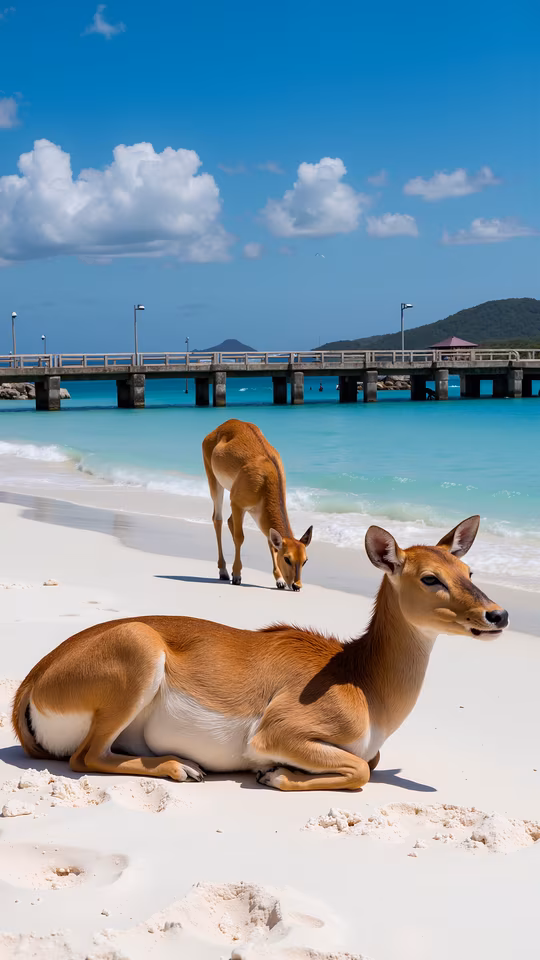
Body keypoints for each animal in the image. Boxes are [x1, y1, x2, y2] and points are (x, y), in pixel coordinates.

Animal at [12, 516, 508, 792]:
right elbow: (360, 771)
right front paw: (275, 775)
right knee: (87, 758)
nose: (498, 615)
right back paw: (183, 767)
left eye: (467, 570)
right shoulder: (275, 734)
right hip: (138, 652)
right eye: (430, 577)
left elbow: (370, 762)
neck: (362, 681)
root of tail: (34, 680)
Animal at [202, 419, 312, 590]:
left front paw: (279, 580)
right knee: (217, 519)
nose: (296, 585)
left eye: (305, 560)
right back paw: (224, 571)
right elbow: (240, 536)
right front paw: (237, 576)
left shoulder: (257, 513)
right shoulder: (236, 502)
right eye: (287, 558)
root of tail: (215, 431)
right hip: (213, 479)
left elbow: (271, 542)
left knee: (229, 521)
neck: (265, 482)